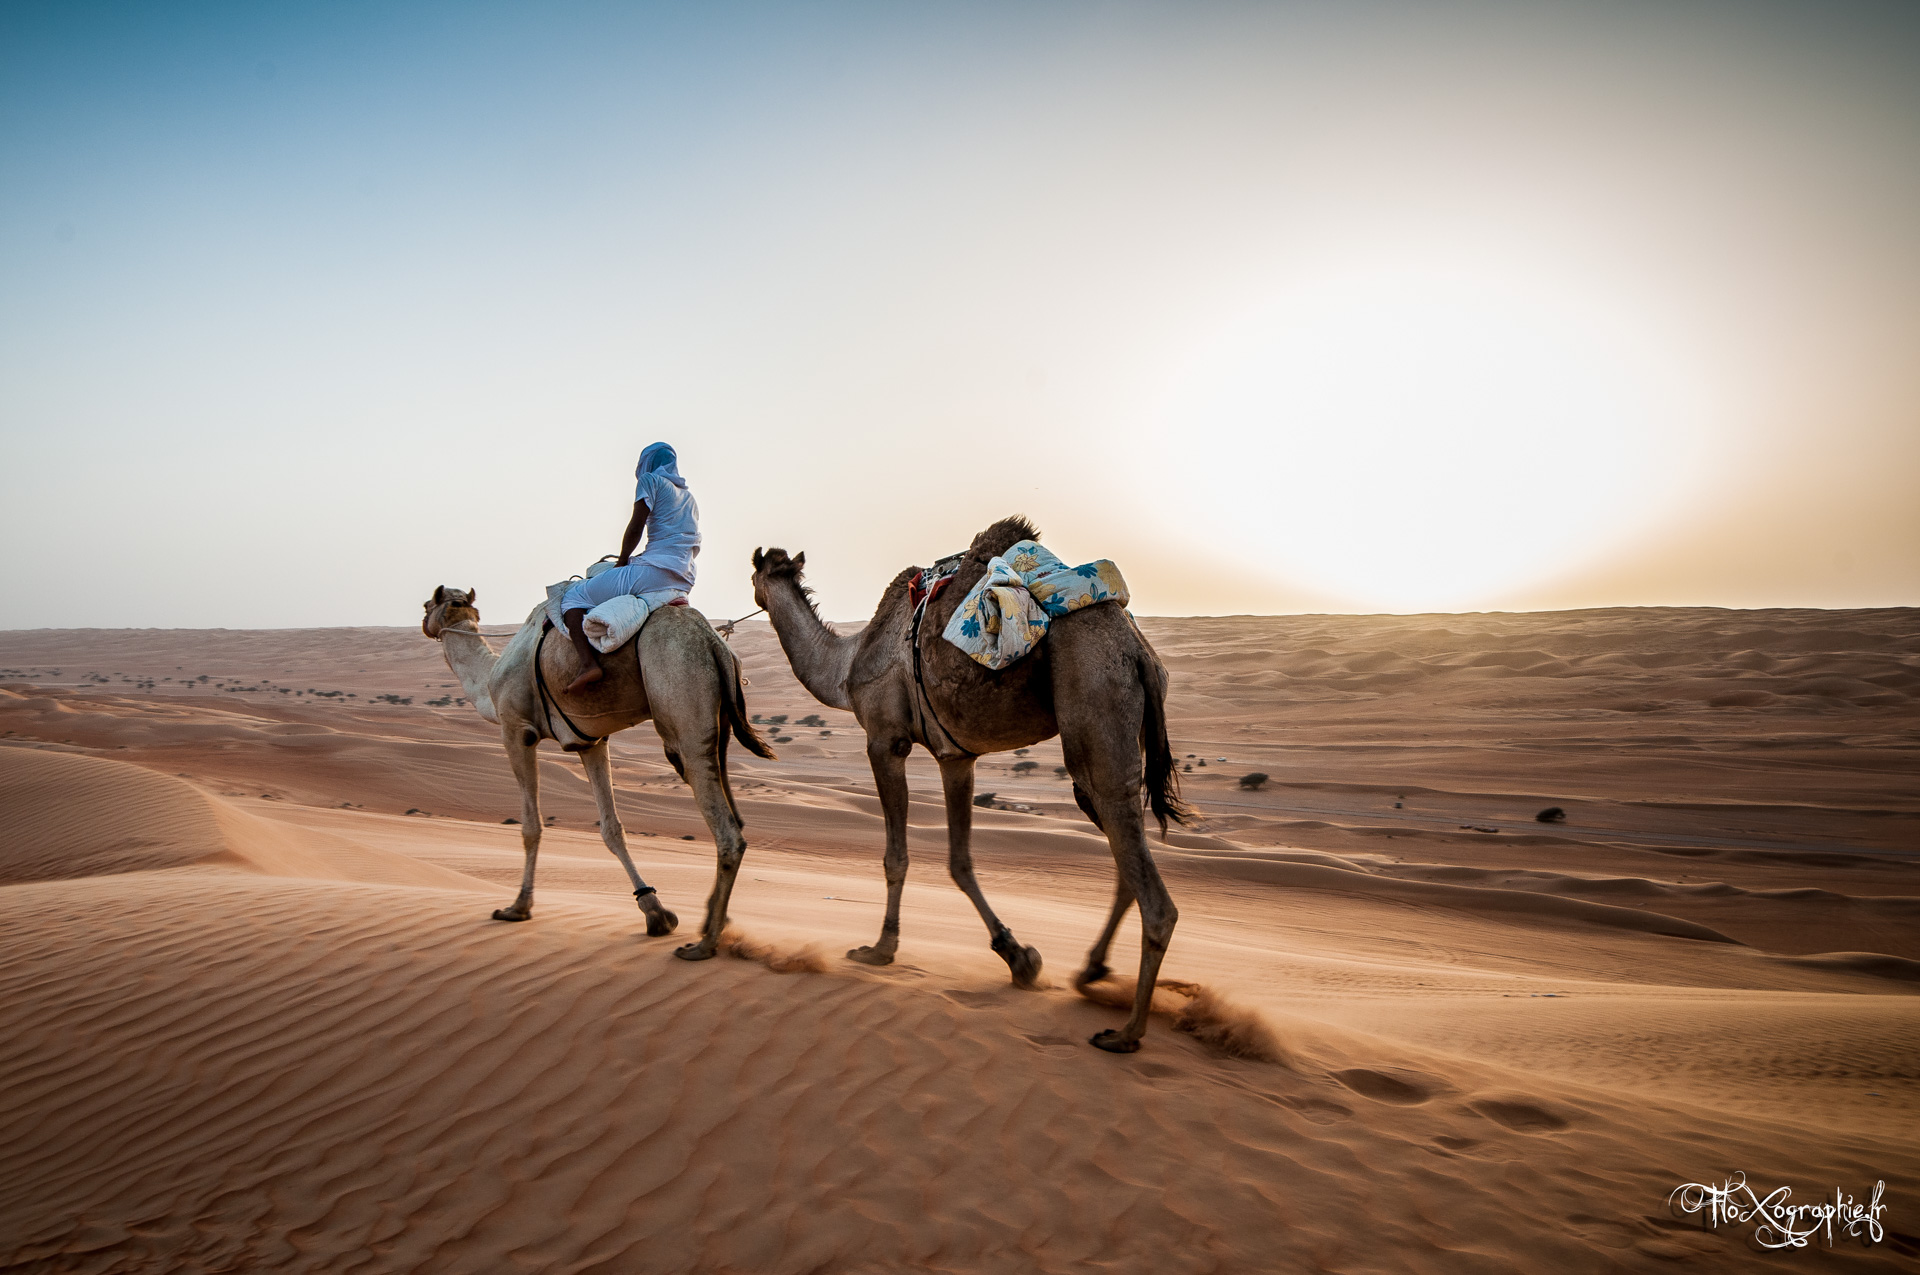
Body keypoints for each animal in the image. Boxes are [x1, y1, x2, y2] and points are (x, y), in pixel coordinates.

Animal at [421, 586, 774, 959]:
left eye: (428, 605)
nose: (424, 620)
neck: (490, 680)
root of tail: (713, 642)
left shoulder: (516, 730)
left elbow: (531, 826)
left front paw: (517, 907)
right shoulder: (589, 742)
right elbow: (611, 828)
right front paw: (656, 913)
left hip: (683, 702)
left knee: (727, 832)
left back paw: (704, 944)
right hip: (720, 721)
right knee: (735, 815)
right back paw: (713, 923)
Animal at [749, 516, 1193, 1052]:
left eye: (756, 573)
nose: (748, 593)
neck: (846, 667)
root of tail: (1138, 652)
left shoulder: (885, 741)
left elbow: (897, 857)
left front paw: (879, 949)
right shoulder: (956, 757)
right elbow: (960, 861)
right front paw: (1018, 956)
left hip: (1095, 699)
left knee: (1152, 891)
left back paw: (1126, 1032)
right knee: (1123, 848)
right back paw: (1091, 972)